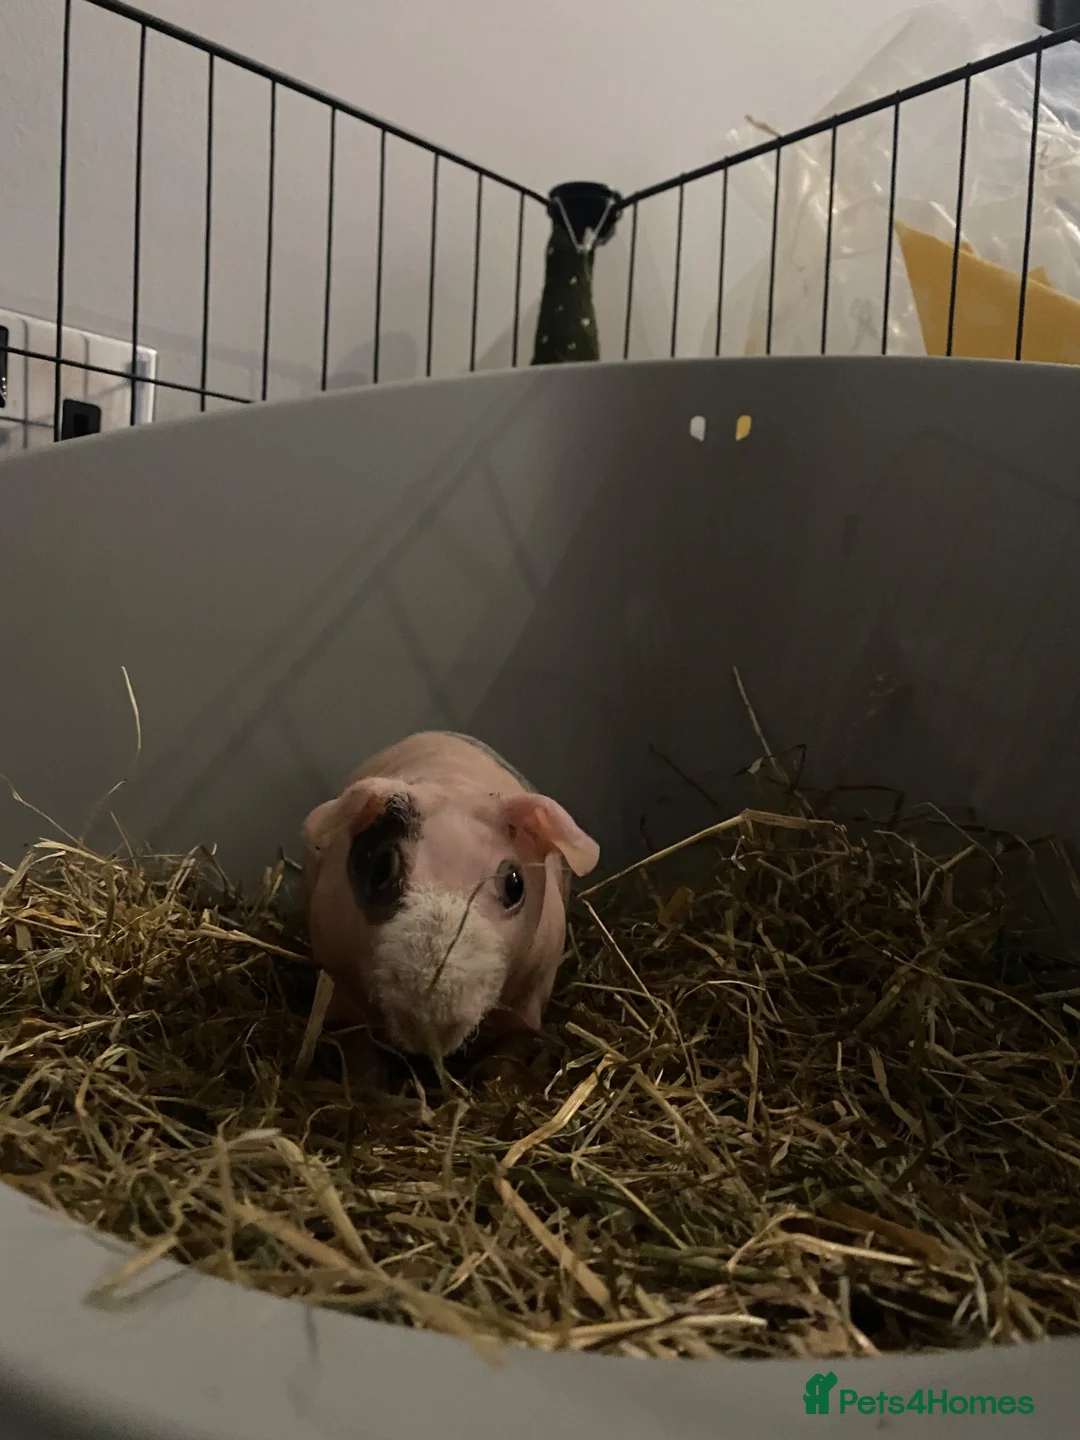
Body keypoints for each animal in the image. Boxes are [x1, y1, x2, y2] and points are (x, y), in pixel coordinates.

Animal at [300, 731, 600, 1065]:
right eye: (381, 868)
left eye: (515, 884)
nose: (432, 1026)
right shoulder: (339, 988)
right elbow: (359, 1055)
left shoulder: (529, 1003)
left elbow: (506, 1057)